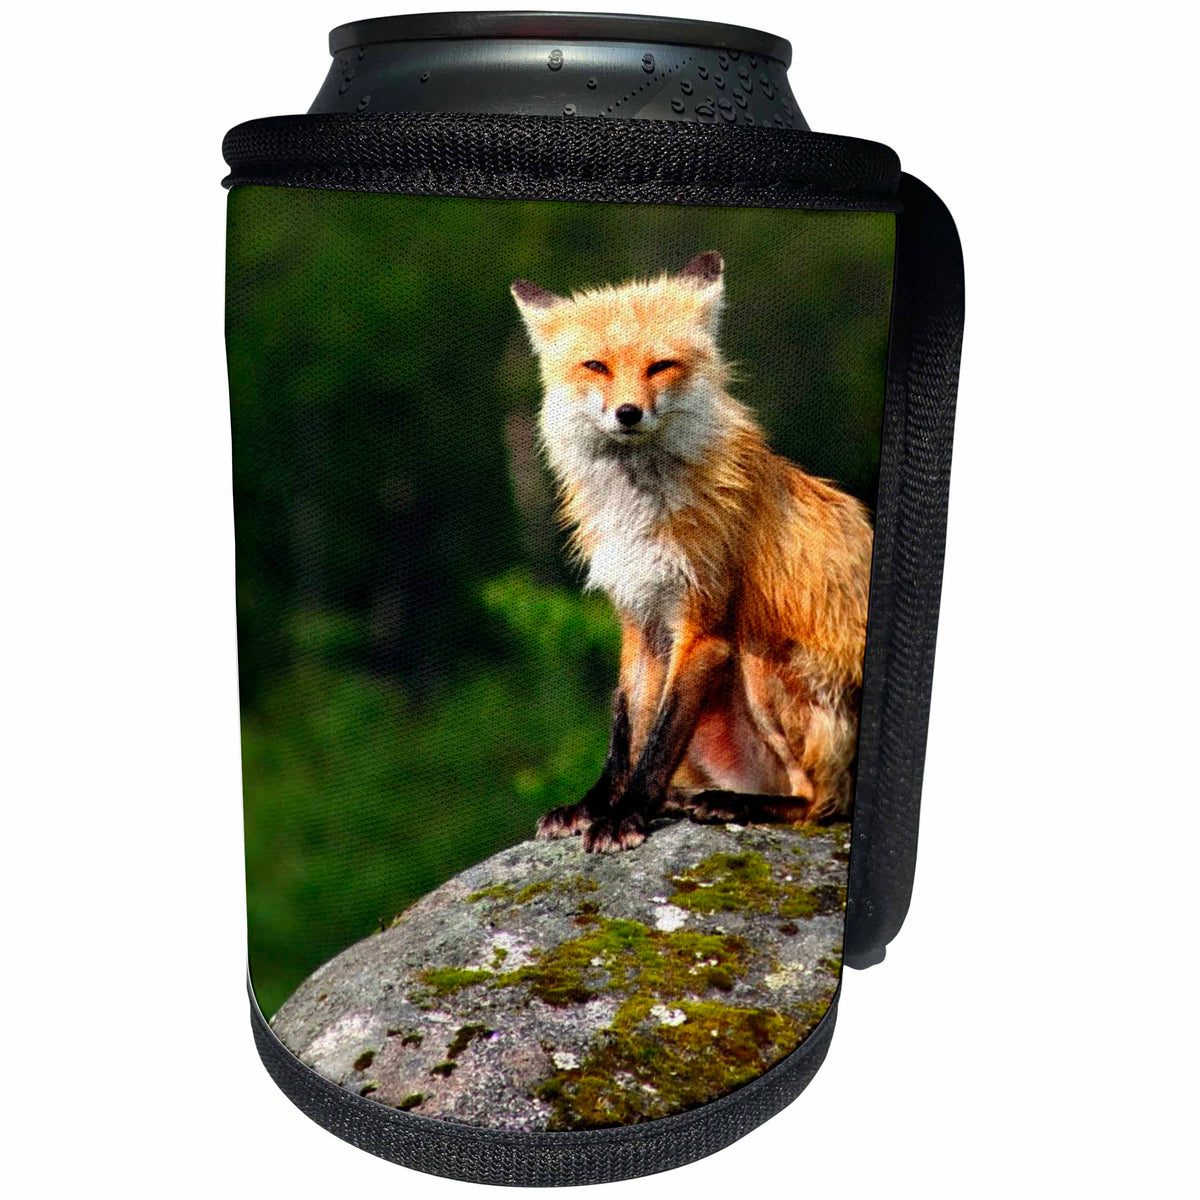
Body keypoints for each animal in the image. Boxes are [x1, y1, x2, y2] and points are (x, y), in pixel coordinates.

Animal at [510, 251, 873, 853]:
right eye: (596, 366)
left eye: (661, 367)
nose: (628, 413)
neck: (641, 513)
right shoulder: (640, 617)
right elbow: (626, 732)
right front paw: (595, 806)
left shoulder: (703, 626)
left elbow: (657, 741)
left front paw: (626, 816)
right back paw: (690, 798)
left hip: (760, 657)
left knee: (822, 802)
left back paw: (738, 804)